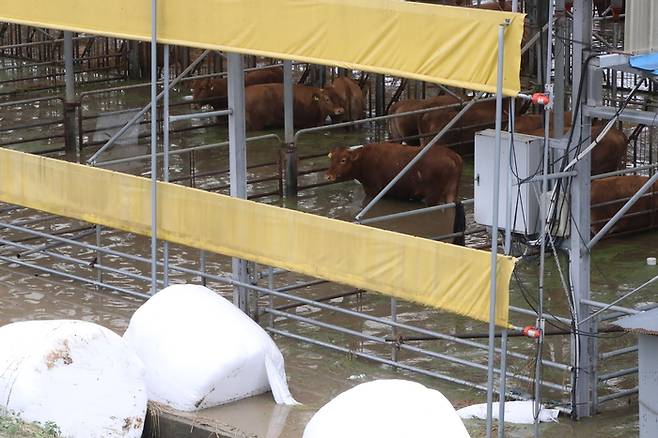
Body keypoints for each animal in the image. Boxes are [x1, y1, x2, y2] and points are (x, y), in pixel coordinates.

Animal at [326, 145, 464, 245]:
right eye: (331, 159)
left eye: (343, 160)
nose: (328, 176)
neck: (364, 160)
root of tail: (452, 156)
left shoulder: (373, 191)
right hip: (451, 193)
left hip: (433, 197)